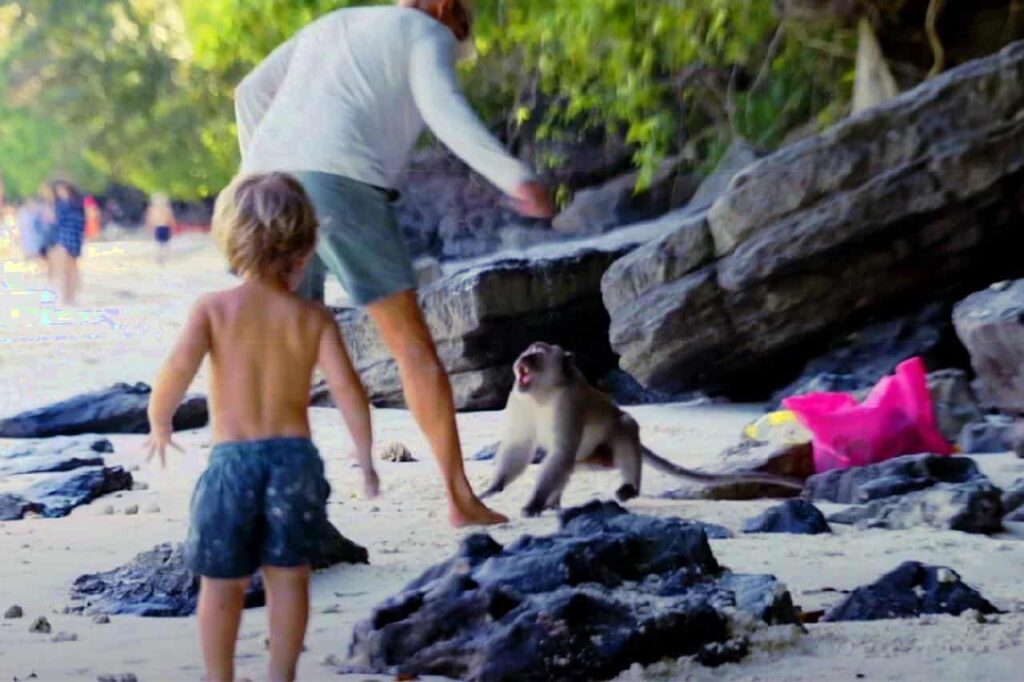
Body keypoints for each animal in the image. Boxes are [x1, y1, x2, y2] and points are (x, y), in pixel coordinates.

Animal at [480, 342, 805, 517]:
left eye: (539, 351)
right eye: (529, 349)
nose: (524, 357)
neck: (542, 393)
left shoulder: (568, 403)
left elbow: (560, 450)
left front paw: (533, 503)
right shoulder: (517, 398)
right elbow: (521, 447)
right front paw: (493, 487)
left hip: (605, 450)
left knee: (623, 427)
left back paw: (628, 487)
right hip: (590, 460)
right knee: (564, 465)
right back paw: (555, 502)